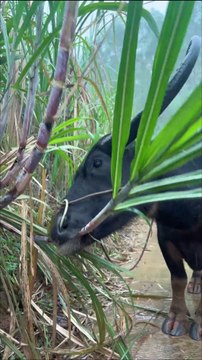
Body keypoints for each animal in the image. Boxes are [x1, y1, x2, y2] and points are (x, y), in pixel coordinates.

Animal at [49, 38, 202, 342]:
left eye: (97, 162)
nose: (58, 226)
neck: (186, 217)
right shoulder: (165, 237)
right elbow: (177, 278)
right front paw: (176, 318)